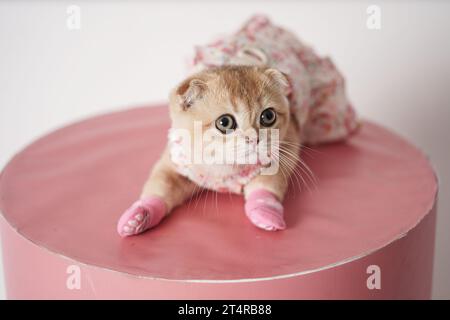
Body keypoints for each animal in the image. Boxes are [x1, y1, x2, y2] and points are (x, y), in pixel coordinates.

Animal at [117, 15, 358, 236]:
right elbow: (160, 186)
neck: (226, 167)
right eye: (225, 122)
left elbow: (266, 186)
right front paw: (140, 215)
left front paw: (265, 212)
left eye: (268, 116)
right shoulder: (174, 163)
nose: (255, 138)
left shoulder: (284, 151)